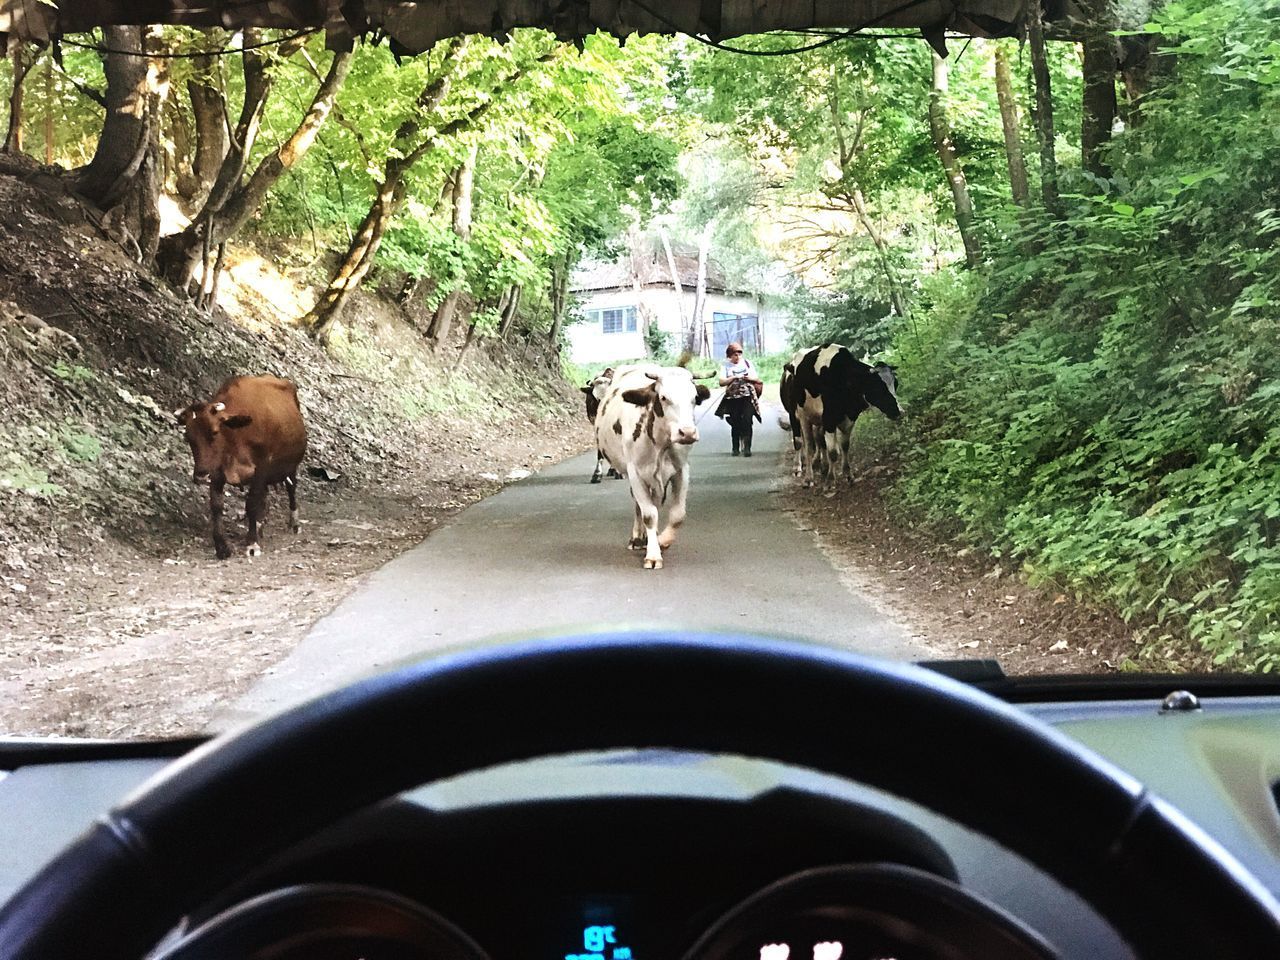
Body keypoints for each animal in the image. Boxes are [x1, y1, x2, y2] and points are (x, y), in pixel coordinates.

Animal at [172, 373, 307, 560]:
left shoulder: (261, 468)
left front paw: (252, 543)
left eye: (214, 432)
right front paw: (222, 547)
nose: (201, 474)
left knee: (291, 488)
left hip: (290, 465)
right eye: (188, 437)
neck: (235, 437)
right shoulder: (217, 471)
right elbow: (216, 506)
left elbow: (252, 503)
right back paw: (259, 526)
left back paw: (294, 523)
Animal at [596, 363, 716, 568]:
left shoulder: (682, 470)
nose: (687, 433)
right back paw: (638, 538)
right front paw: (653, 554)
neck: (662, 444)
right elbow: (649, 515)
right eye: (664, 397)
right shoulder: (635, 473)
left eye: (694, 398)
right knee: (640, 504)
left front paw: (662, 541)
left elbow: (678, 514)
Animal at [778, 345, 901, 488]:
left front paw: (847, 474)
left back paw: (821, 465)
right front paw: (831, 480)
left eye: (896, 383)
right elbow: (832, 452)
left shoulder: (849, 418)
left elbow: (844, 446)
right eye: (877, 387)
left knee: (818, 440)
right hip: (798, 415)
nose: (898, 410)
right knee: (803, 443)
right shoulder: (829, 419)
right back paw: (803, 471)